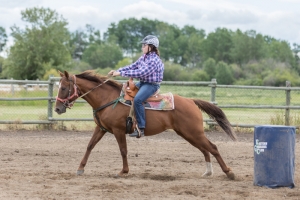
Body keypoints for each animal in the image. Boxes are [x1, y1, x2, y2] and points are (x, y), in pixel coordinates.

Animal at [54, 70, 237, 180]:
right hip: (188, 134)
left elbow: (123, 150)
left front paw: (123, 171)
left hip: (193, 132)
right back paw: (208, 172)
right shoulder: (101, 129)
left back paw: (229, 172)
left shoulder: (118, 130)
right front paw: (80, 169)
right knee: (205, 149)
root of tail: (191, 101)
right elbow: (90, 146)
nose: (57, 108)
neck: (107, 99)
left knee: (212, 147)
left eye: (63, 88)